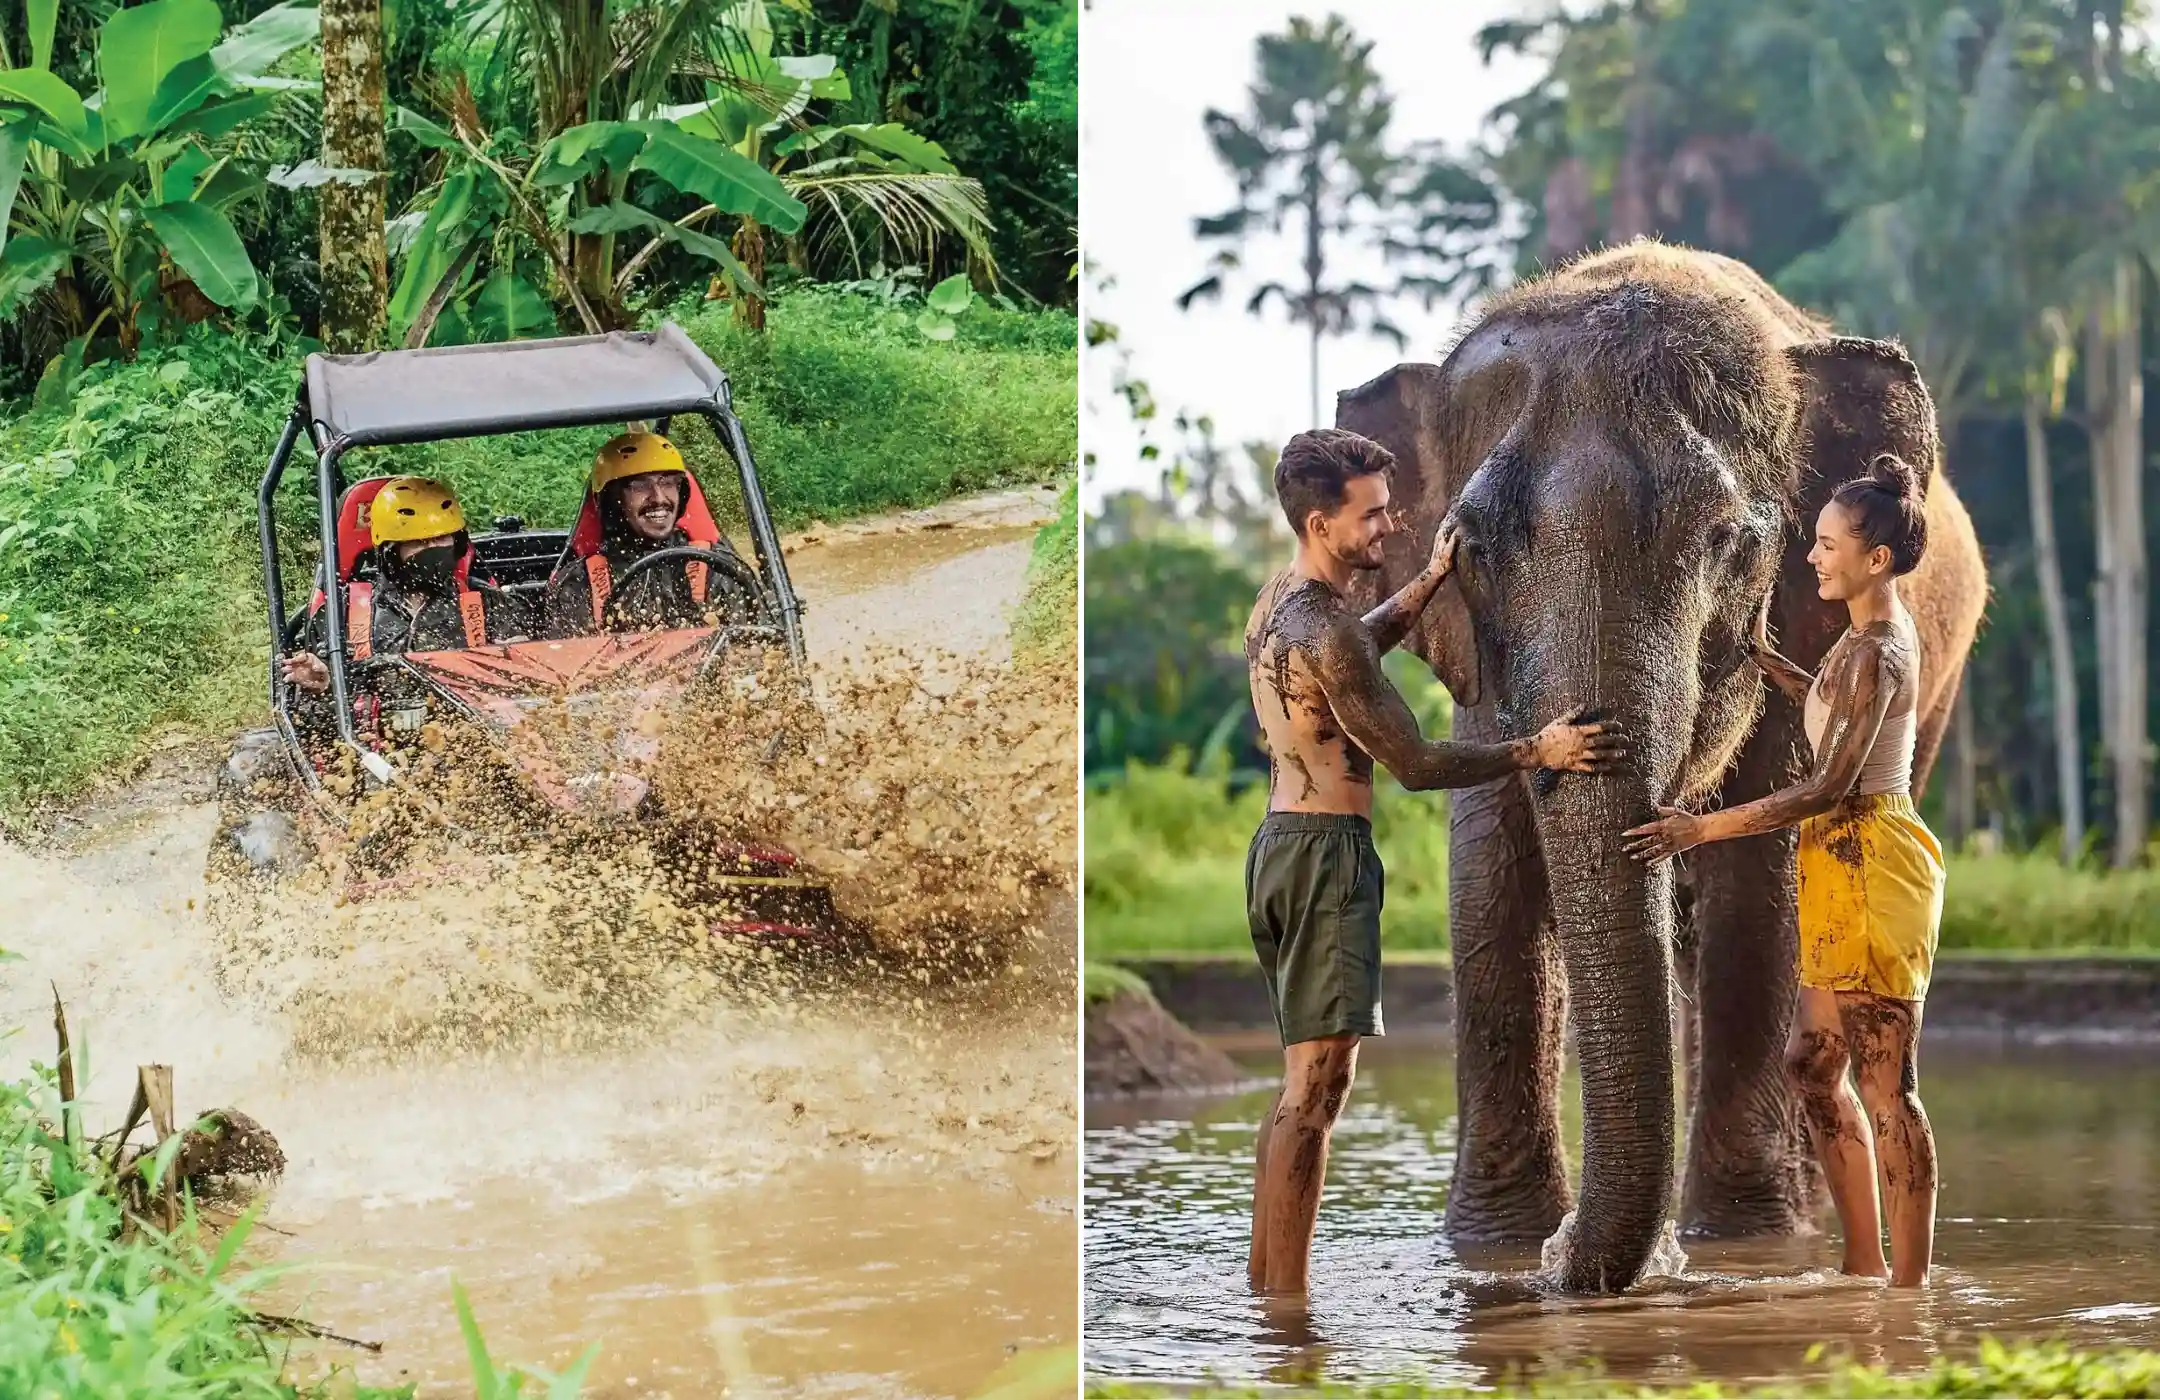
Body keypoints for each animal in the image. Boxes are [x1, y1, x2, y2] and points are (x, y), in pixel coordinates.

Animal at [1335, 241, 1987, 1293]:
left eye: (1730, 547)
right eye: (1469, 549)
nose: (1564, 1262)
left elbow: (1762, 886)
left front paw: (1739, 1240)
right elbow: (1489, 880)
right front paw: (1496, 1246)